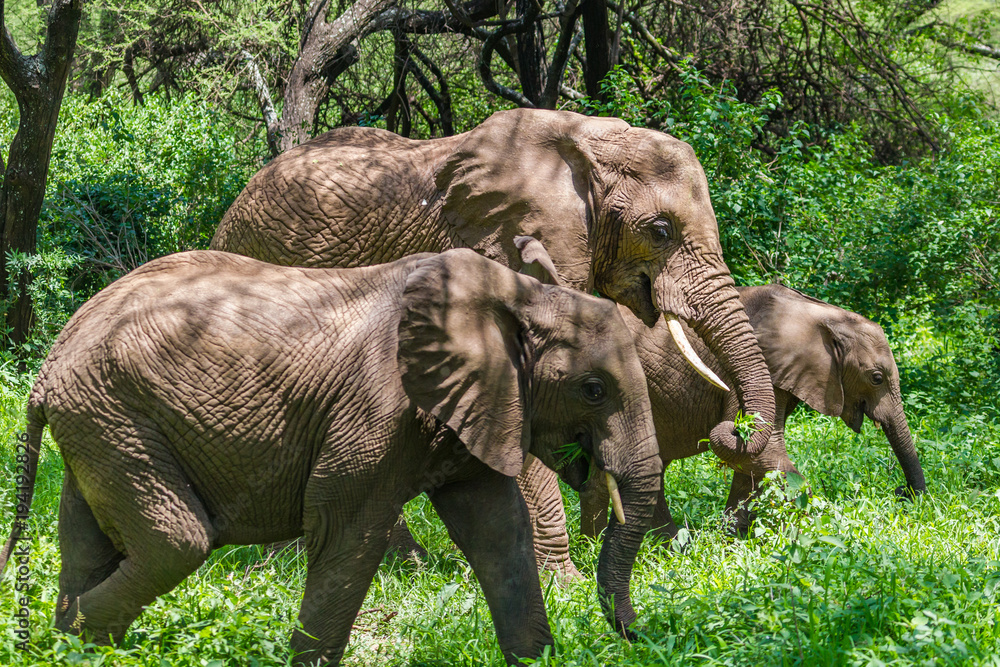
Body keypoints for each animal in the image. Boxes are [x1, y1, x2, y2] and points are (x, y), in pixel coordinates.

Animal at [0, 248, 662, 666]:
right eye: (594, 390)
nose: (638, 634)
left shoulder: (476, 405)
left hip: (98, 422)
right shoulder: (378, 409)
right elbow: (347, 534)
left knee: (87, 541)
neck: (518, 294)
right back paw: (72, 642)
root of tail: (47, 369)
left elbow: (499, 535)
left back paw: (58, 645)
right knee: (175, 542)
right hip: (114, 414)